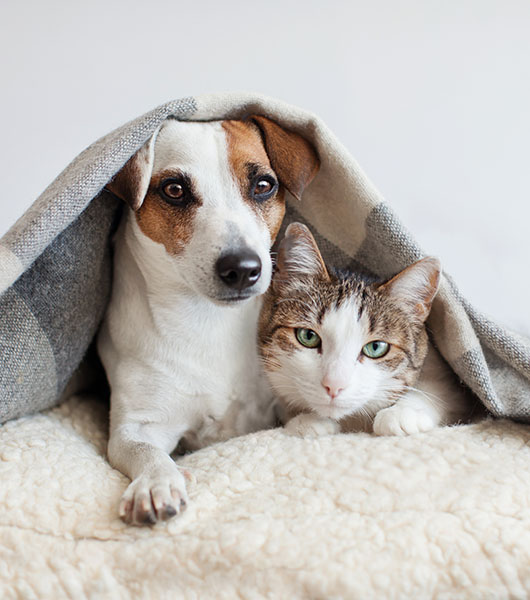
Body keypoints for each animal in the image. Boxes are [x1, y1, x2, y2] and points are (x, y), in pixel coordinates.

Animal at [96, 113, 316, 524]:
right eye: (175, 190)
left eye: (263, 185)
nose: (242, 268)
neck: (208, 322)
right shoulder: (137, 426)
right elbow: (146, 452)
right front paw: (156, 483)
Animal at [258, 220, 468, 436]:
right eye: (308, 336)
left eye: (376, 347)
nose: (334, 385)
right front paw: (307, 420)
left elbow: (440, 390)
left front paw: (403, 413)